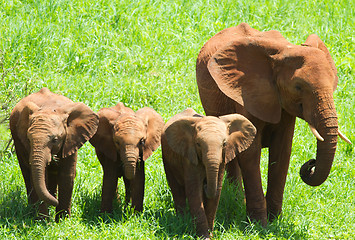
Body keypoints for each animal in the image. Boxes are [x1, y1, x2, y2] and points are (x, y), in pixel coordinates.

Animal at [9, 87, 98, 220]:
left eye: (55, 140)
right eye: (29, 140)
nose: (55, 202)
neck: (49, 108)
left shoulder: (71, 139)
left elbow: (67, 175)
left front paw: (62, 220)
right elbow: (39, 177)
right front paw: (42, 220)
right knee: (27, 174)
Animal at [161, 109, 256, 238]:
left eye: (224, 144)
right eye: (198, 144)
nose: (205, 184)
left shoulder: (222, 159)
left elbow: (216, 191)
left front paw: (210, 235)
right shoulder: (190, 157)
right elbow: (194, 191)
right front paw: (204, 237)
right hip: (167, 160)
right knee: (176, 189)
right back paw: (182, 220)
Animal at [196, 22, 352, 225]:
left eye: (334, 85)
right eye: (298, 87)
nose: (311, 163)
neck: (283, 52)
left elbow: (282, 151)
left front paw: (274, 221)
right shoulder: (246, 95)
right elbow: (250, 153)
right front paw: (259, 224)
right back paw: (237, 200)